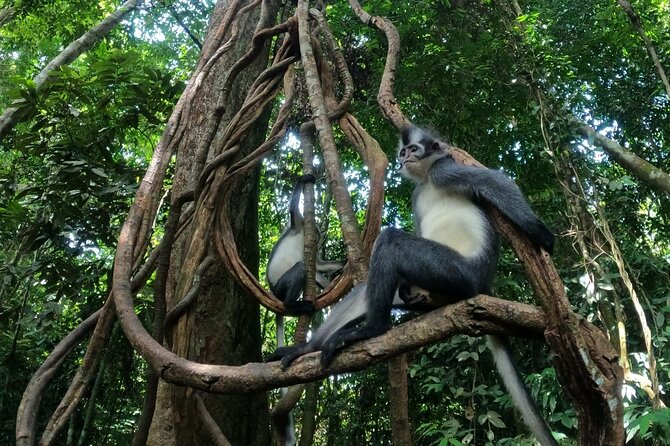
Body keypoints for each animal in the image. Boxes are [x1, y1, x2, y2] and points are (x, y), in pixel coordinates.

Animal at [266, 172, 344, 316]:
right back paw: (291, 306)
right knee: (300, 267)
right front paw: (303, 179)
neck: (304, 233)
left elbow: (319, 265)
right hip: (280, 288)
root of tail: (274, 293)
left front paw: (345, 262)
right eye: (316, 232)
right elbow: (292, 209)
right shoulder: (297, 224)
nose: (318, 238)